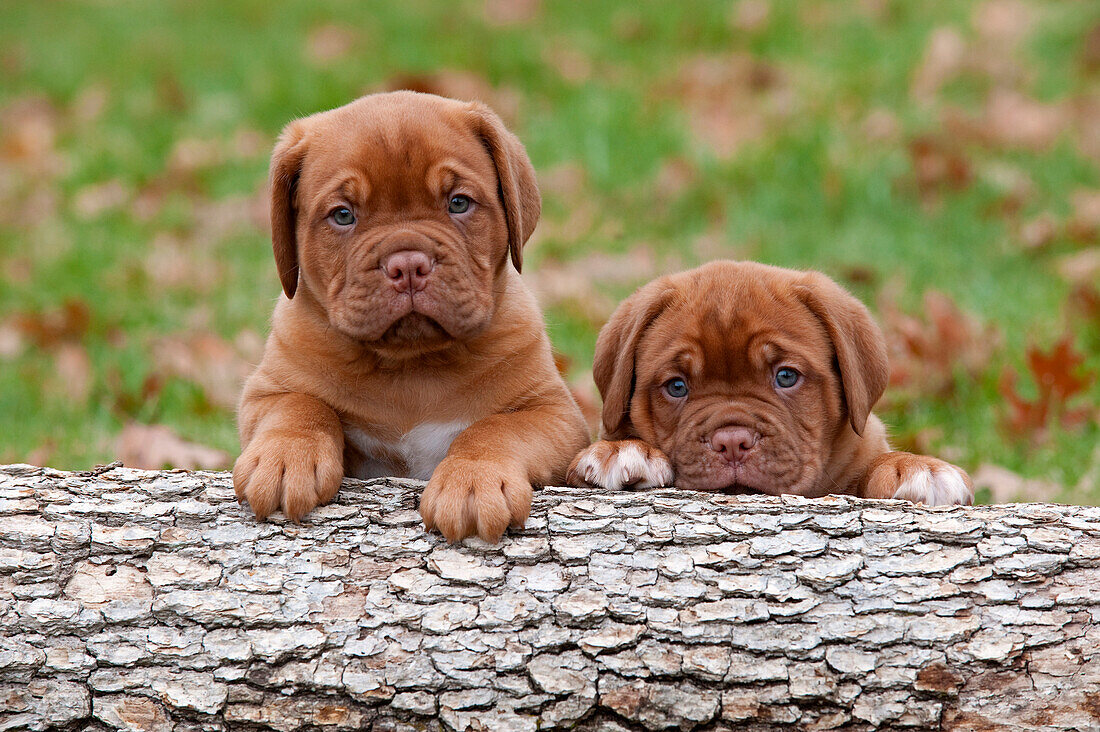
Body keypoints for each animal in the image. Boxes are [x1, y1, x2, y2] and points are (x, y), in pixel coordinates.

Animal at [235, 88, 589, 539]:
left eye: (459, 203)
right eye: (343, 214)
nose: (407, 265)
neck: (410, 366)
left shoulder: (554, 414)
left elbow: (496, 429)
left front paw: (473, 480)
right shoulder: (266, 392)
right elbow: (299, 406)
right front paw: (284, 458)